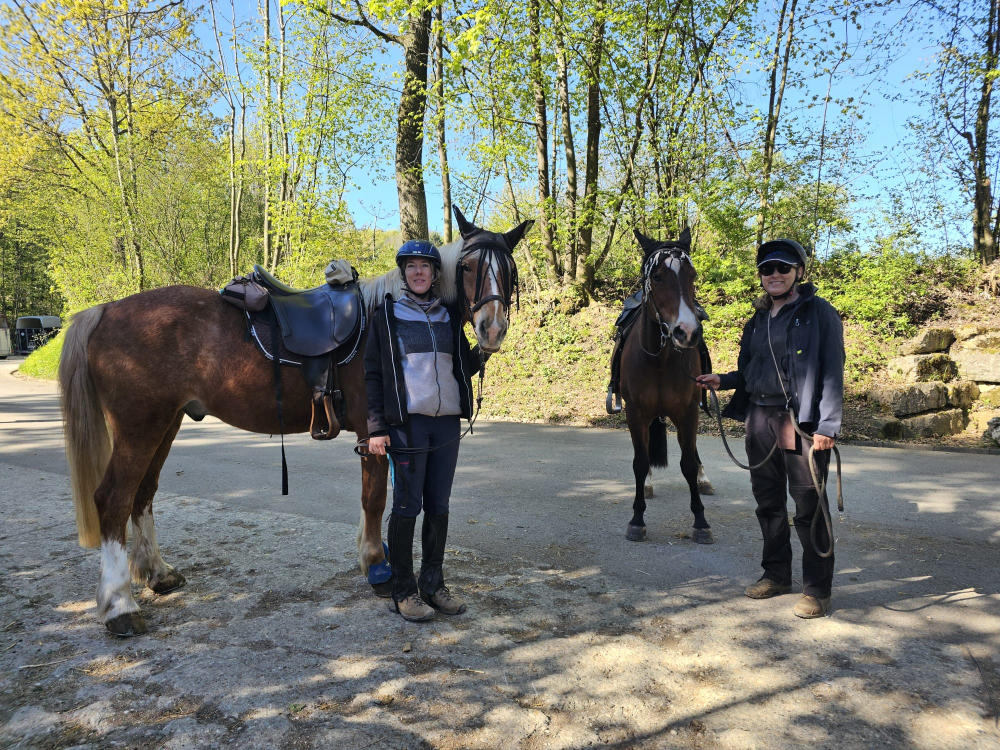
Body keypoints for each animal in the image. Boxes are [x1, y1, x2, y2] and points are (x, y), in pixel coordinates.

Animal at [58, 204, 532, 636]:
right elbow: (376, 499)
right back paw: (120, 607)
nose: (492, 329)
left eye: (509, 270)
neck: (388, 314)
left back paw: (158, 574)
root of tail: (105, 310)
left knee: (143, 495)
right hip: (140, 427)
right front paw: (377, 566)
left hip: (165, 423)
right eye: (467, 266)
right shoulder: (374, 434)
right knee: (113, 500)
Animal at [617, 227, 715, 545]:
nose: (688, 332)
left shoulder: (688, 412)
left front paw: (701, 522)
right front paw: (637, 520)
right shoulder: (635, 413)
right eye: (657, 277)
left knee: (692, 454)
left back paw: (704, 479)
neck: (659, 358)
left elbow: (688, 463)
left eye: (692, 275)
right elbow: (640, 462)